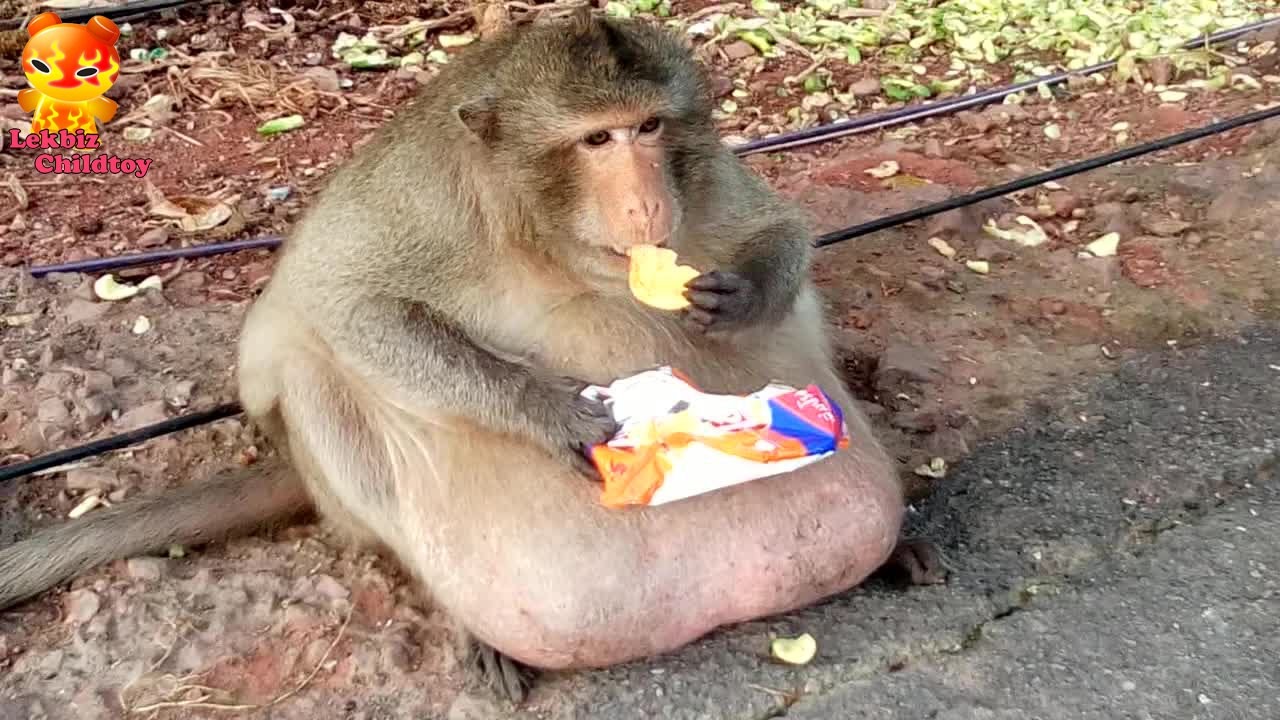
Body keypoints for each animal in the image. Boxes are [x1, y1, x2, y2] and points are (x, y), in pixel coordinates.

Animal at [0, 11, 943, 704]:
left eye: (647, 127)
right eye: (596, 142)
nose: (646, 204)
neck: (546, 231)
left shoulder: (702, 168)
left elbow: (780, 228)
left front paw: (742, 293)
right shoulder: (428, 199)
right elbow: (345, 305)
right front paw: (553, 412)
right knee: (309, 373)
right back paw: (463, 618)